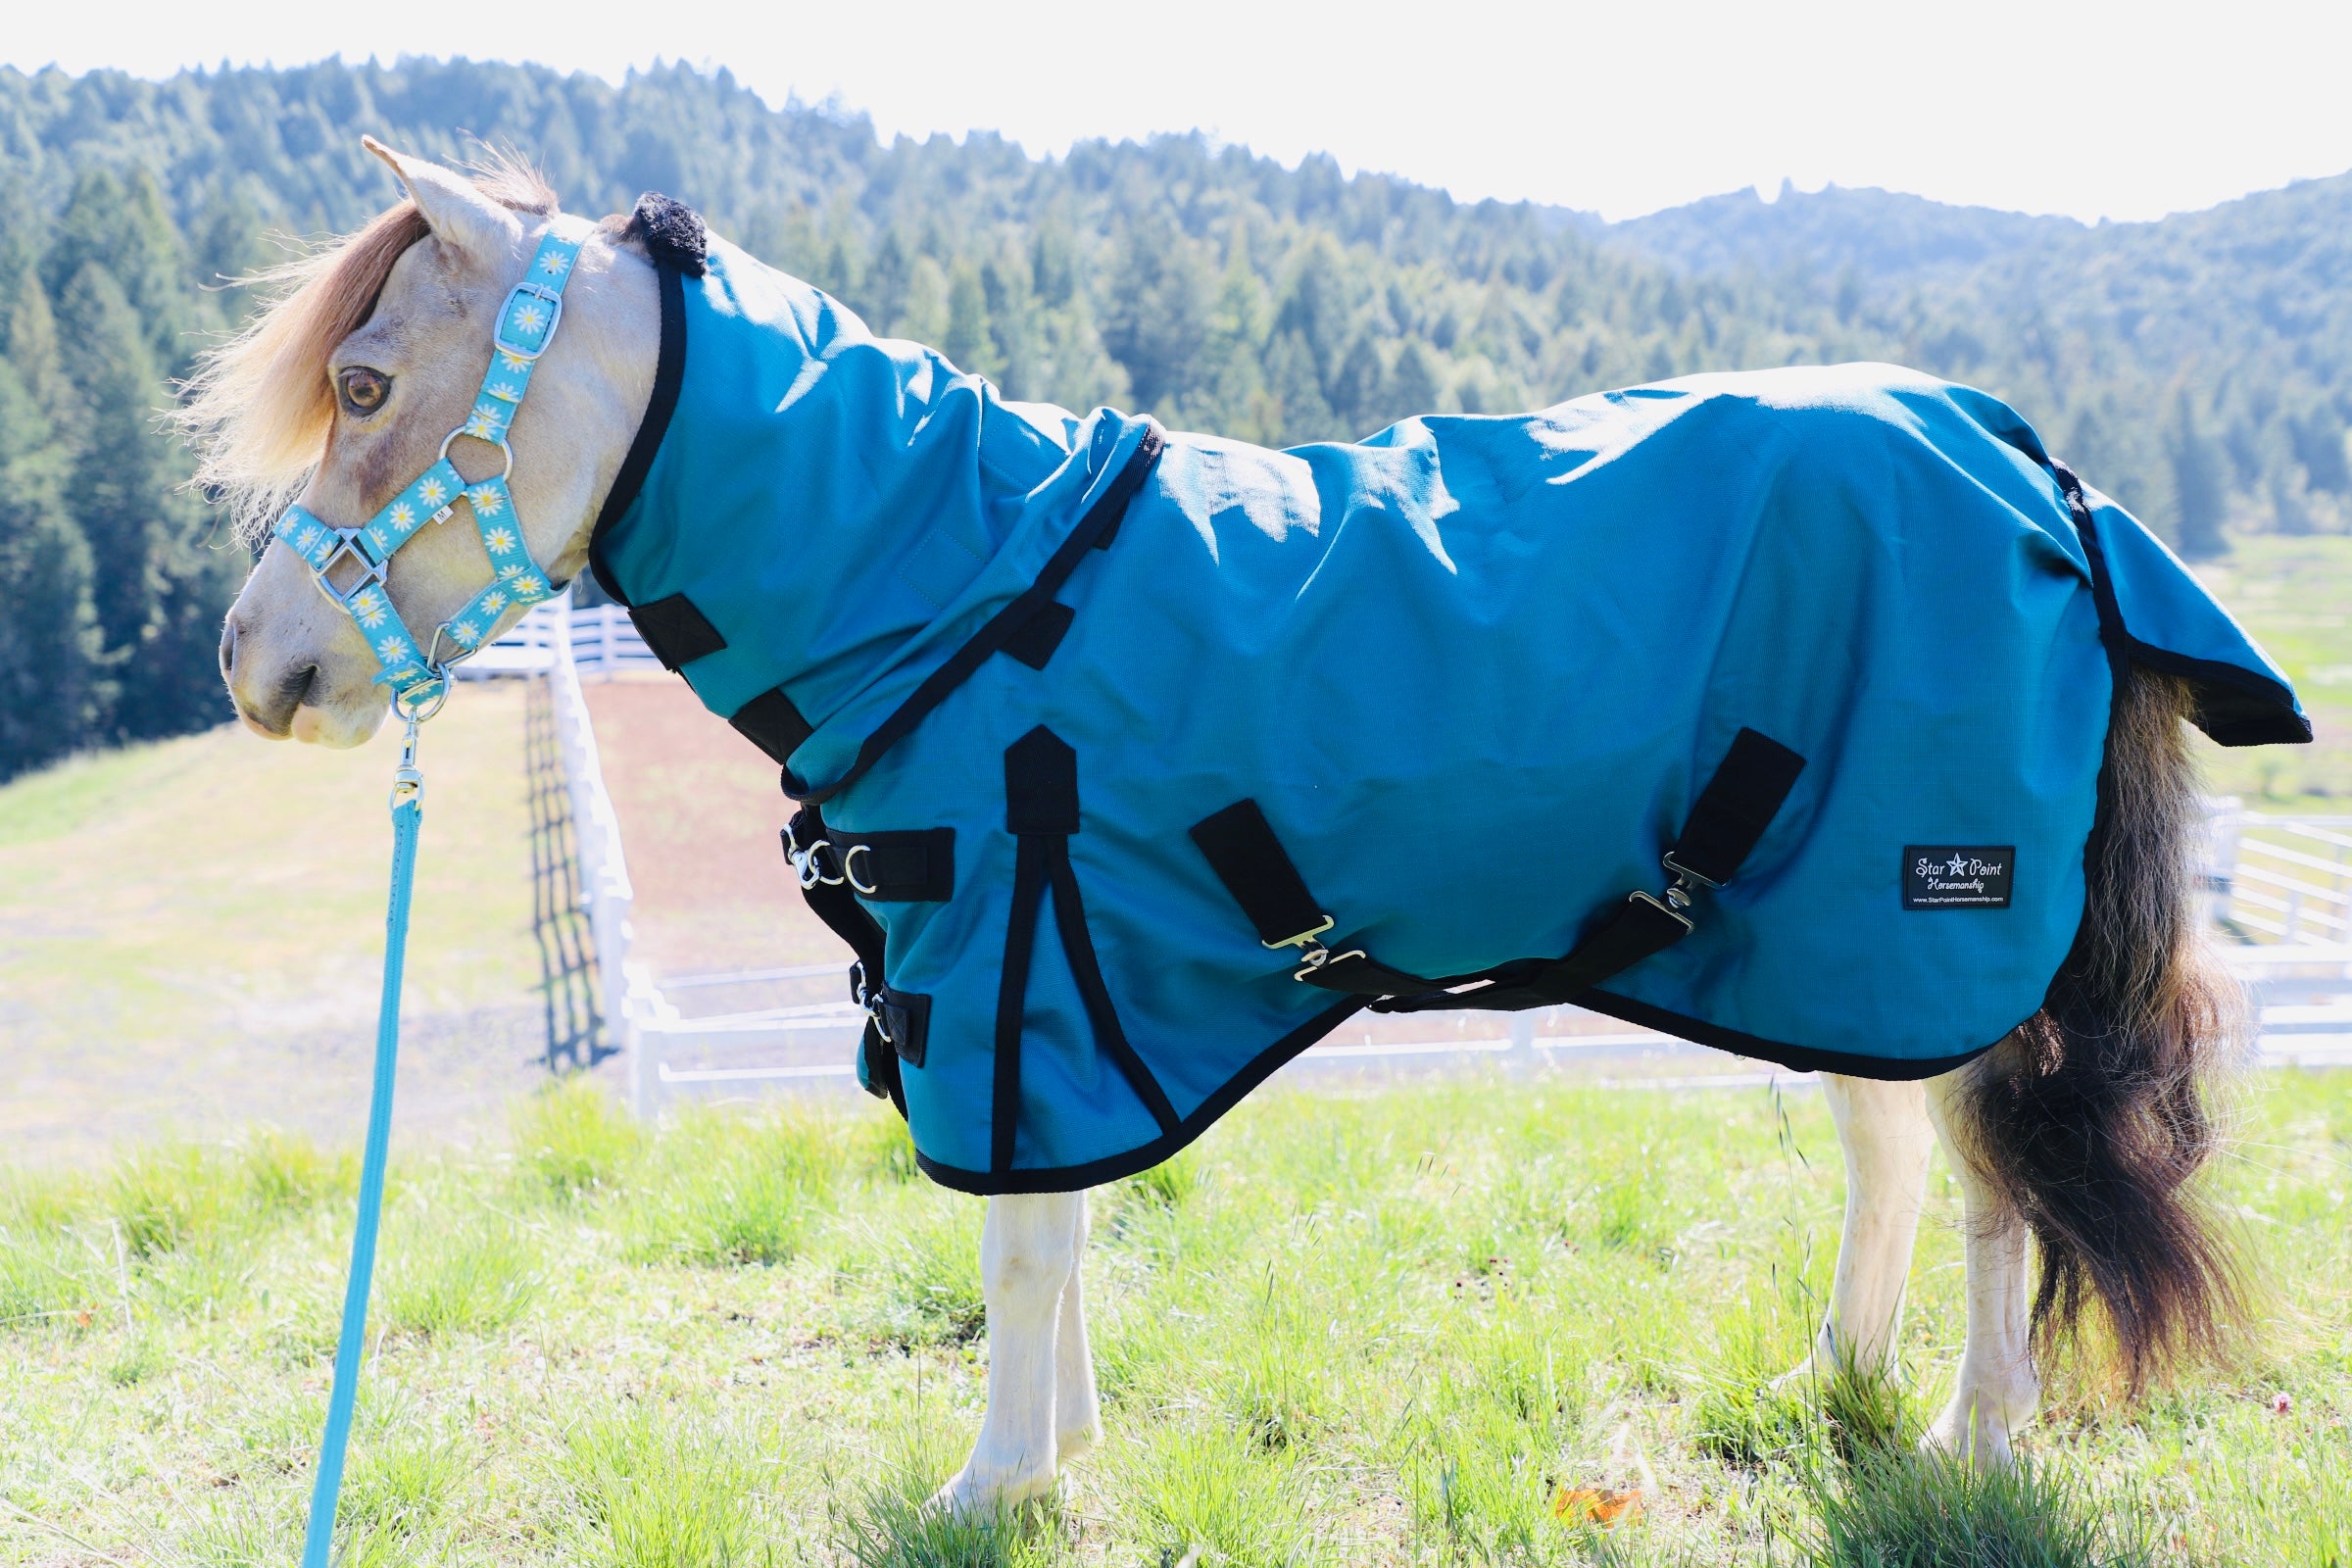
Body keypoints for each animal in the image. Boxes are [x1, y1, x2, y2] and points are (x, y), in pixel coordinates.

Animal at [186, 140, 2261, 1514]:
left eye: (367, 383)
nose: (257, 664)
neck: (957, 580)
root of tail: (2030, 466)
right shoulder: (1064, 982)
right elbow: (1065, 1229)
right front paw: (1060, 1453)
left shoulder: (1008, 964)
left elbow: (1021, 1250)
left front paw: (992, 1489)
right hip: (1837, 942)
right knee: (1887, 1146)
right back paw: (1832, 1377)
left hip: (1949, 929)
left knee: (1993, 1182)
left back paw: (1971, 1435)